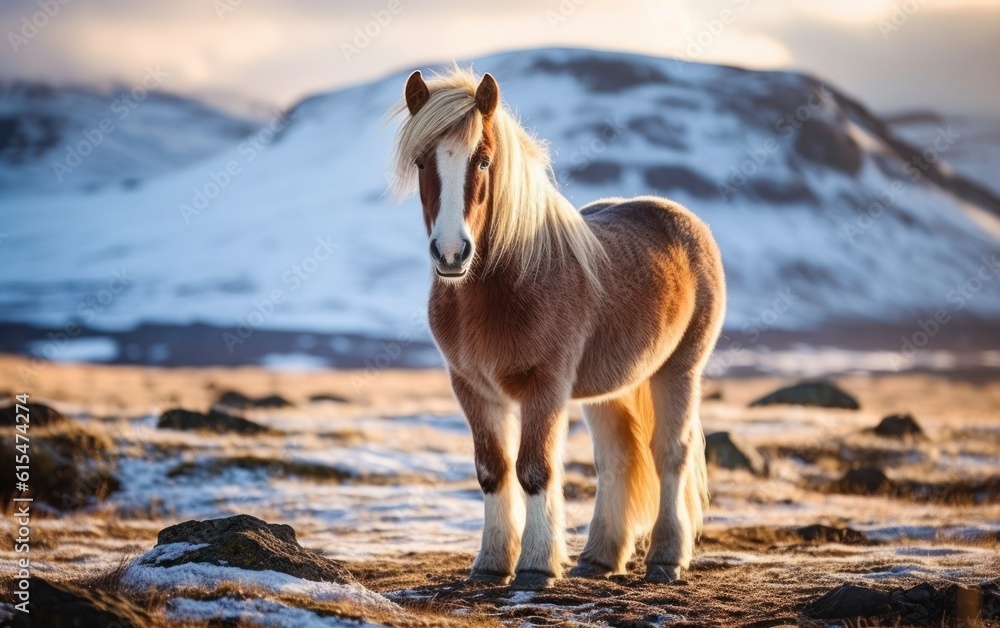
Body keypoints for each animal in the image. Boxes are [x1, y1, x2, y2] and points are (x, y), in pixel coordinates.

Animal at [386, 68, 724, 588]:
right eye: (422, 161)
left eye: (483, 160)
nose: (451, 253)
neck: (506, 282)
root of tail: (688, 222)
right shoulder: (471, 388)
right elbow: (492, 470)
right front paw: (490, 564)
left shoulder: (544, 386)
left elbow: (534, 470)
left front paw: (535, 567)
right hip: (609, 388)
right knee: (618, 458)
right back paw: (599, 558)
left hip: (679, 371)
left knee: (671, 454)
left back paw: (666, 559)